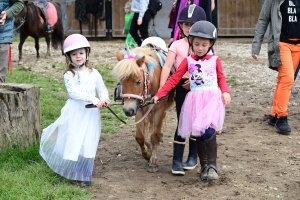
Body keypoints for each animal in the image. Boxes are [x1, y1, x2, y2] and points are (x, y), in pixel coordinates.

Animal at [111, 37, 175, 172]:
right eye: (121, 81)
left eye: (138, 81)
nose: (127, 110)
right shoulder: (138, 109)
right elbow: (139, 136)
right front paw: (147, 154)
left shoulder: (158, 109)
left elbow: (154, 135)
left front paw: (153, 162)